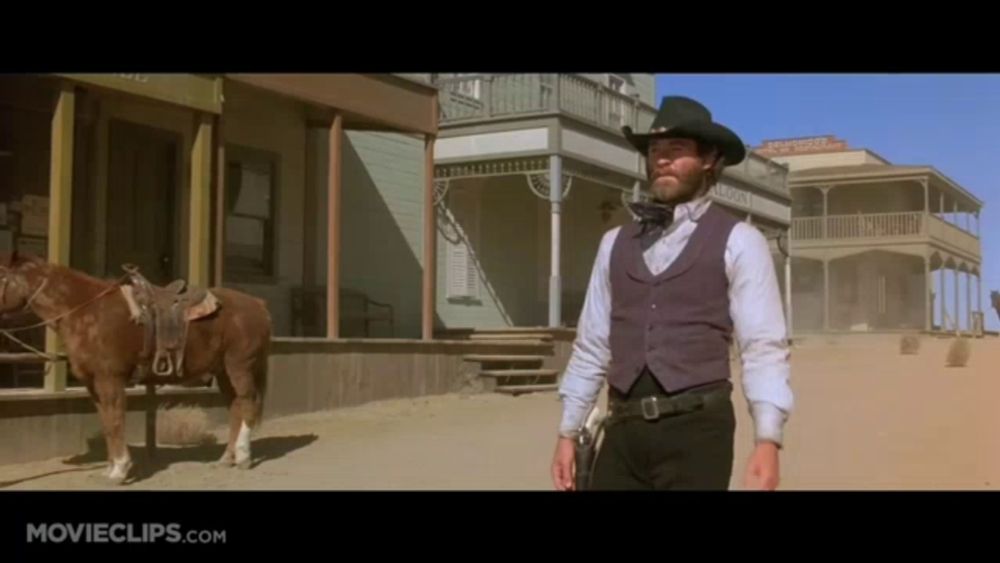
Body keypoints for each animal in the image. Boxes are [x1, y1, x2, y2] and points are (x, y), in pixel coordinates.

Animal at [0, 252, 274, 484]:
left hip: (240, 366)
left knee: (247, 403)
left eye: (1, 277)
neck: (88, 310)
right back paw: (227, 458)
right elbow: (107, 423)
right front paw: (111, 468)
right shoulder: (93, 383)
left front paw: (120, 470)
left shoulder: (110, 379)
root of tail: (258, 304)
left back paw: (243, 457)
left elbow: (115, 420)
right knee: (236, 408)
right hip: (223, 371)